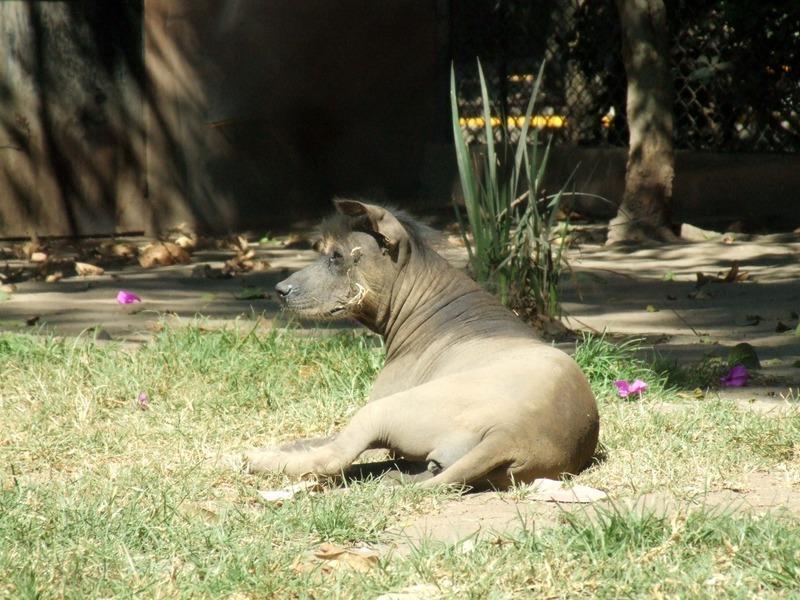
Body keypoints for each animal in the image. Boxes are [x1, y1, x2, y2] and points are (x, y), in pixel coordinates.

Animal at [245, 199, 600, 490]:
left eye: (337, 257)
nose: (279, 290)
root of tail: (510, 432)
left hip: (383, 411)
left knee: (333, 459)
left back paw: (262, 462)